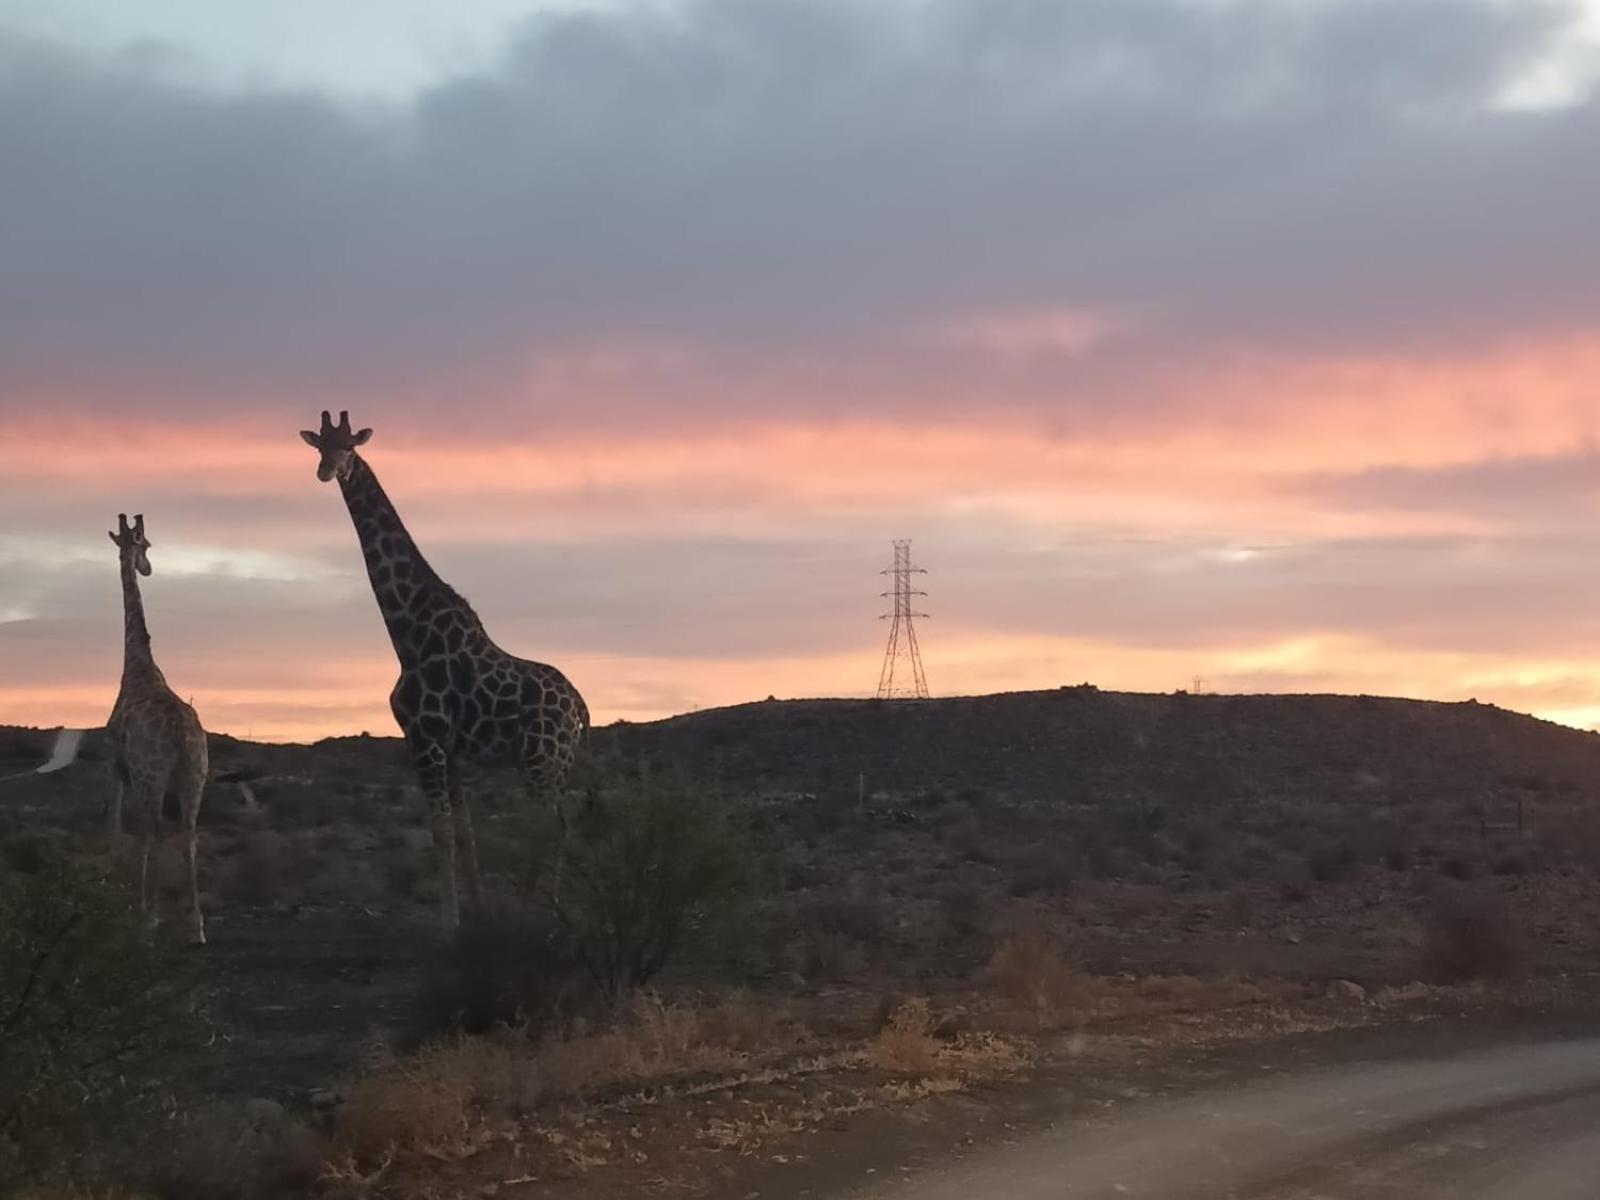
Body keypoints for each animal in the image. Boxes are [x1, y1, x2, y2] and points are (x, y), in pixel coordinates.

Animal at [299, 409, 588, 928]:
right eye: (320, 447)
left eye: (349, 446)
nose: (327, 472)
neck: (408, 634)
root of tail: (579, 705)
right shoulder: (448, 748)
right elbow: (465, 834)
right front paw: (477, 912)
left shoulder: (425, 737)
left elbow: (442, 832)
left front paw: (448, 923)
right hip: (551, 762)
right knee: (552, 826)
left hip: (543, 759)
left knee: (552, 826)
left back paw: (545, 913)